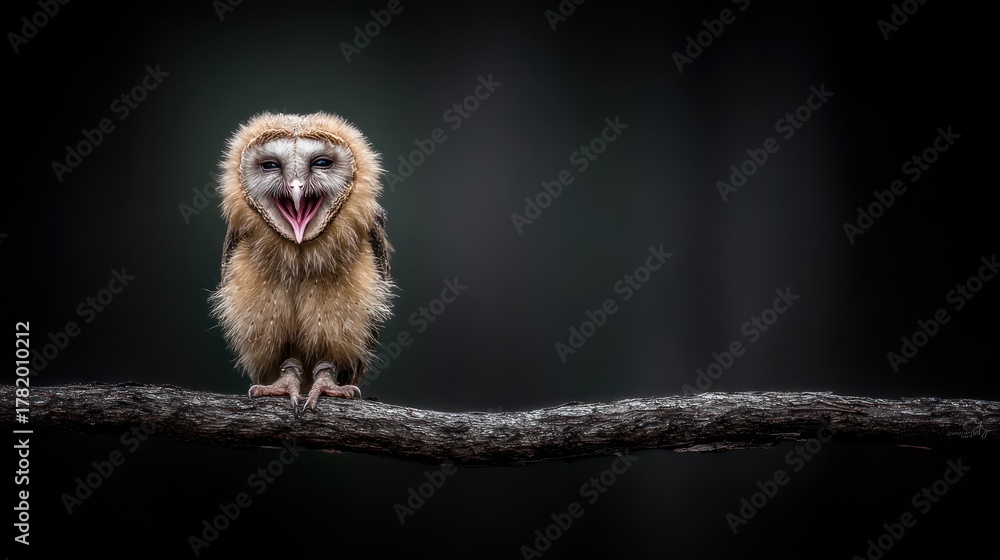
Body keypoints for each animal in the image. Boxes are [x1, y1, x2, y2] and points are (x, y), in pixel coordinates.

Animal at [210, 112, 392, 415]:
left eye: (321, 163)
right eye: (270, 166)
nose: (296, 190)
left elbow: (328, 359)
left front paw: (326, 386)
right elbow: (286, 360)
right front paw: (285, 384)